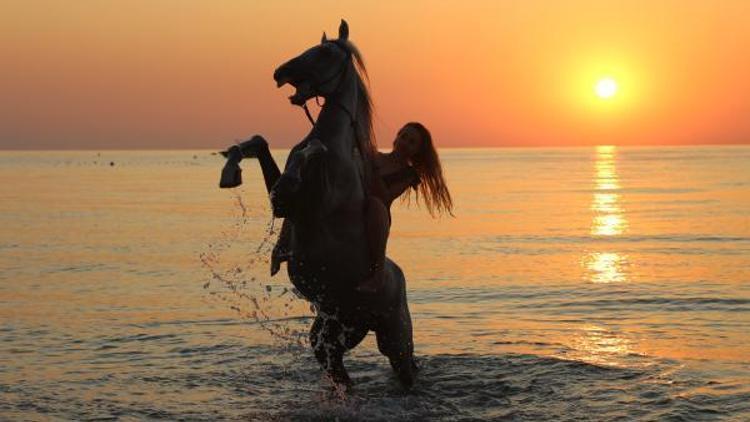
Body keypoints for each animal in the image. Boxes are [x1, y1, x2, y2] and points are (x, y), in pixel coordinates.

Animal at [220, 19, 420, 390]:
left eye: (325, 53)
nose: (280, 72)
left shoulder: (304, 203)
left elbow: (309, 154)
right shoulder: (284, 205)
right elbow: (259, 143)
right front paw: (230, 168)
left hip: (395, 339)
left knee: (405, 374)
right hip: (333, 333)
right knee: (340, 373)